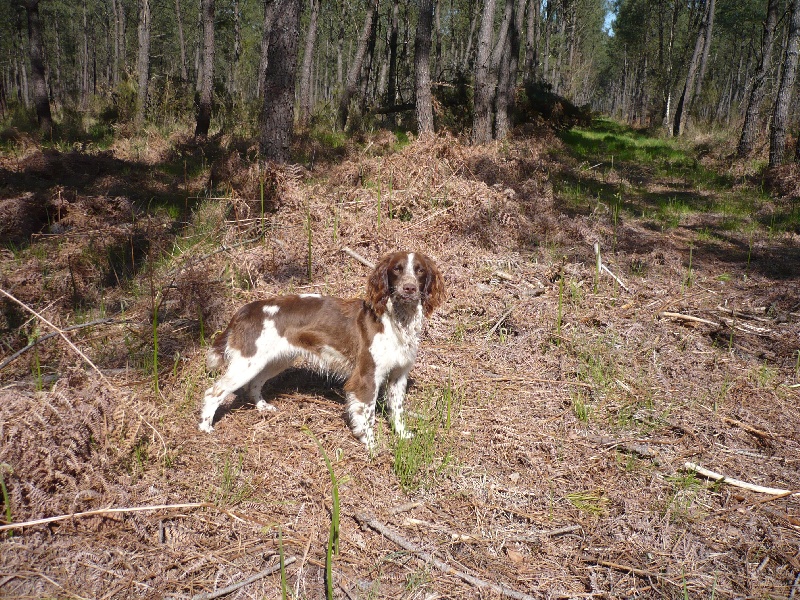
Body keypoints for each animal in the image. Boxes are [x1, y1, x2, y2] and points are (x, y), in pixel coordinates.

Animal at [195, 250, 444, 450]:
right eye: (397, 269)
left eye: (419, 270)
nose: (409, 288)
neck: (396, 321)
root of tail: (246, 309)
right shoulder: (366, 377)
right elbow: (368, 415)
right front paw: (371, 446)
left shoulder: (398, 376)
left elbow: (398, 410)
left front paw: (402, 436)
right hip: (247, 363)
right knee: (213, 392)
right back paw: (205, 428)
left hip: (273, 360)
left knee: (254, 384)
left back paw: (263, 407)